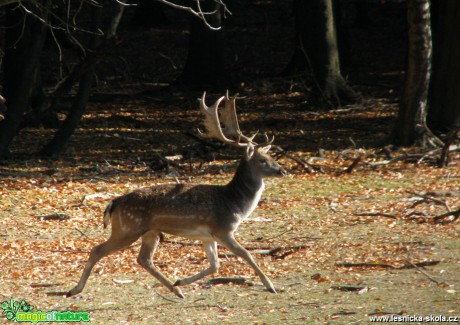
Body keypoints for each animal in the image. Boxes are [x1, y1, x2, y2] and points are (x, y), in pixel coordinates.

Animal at [66, 90, 286, 296]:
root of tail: (114, 203)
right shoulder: (223, 229)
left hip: (149, 232)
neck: (235, 204)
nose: (282, 170)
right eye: (262, 160)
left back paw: (176, 290)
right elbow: (247, 255)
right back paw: (74, 289)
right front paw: (270, 286)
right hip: (127, 228)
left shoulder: (208, 236)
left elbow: (215, 265)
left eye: (271, 156)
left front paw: (181, 281)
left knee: (143, 259)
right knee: (98, 250)